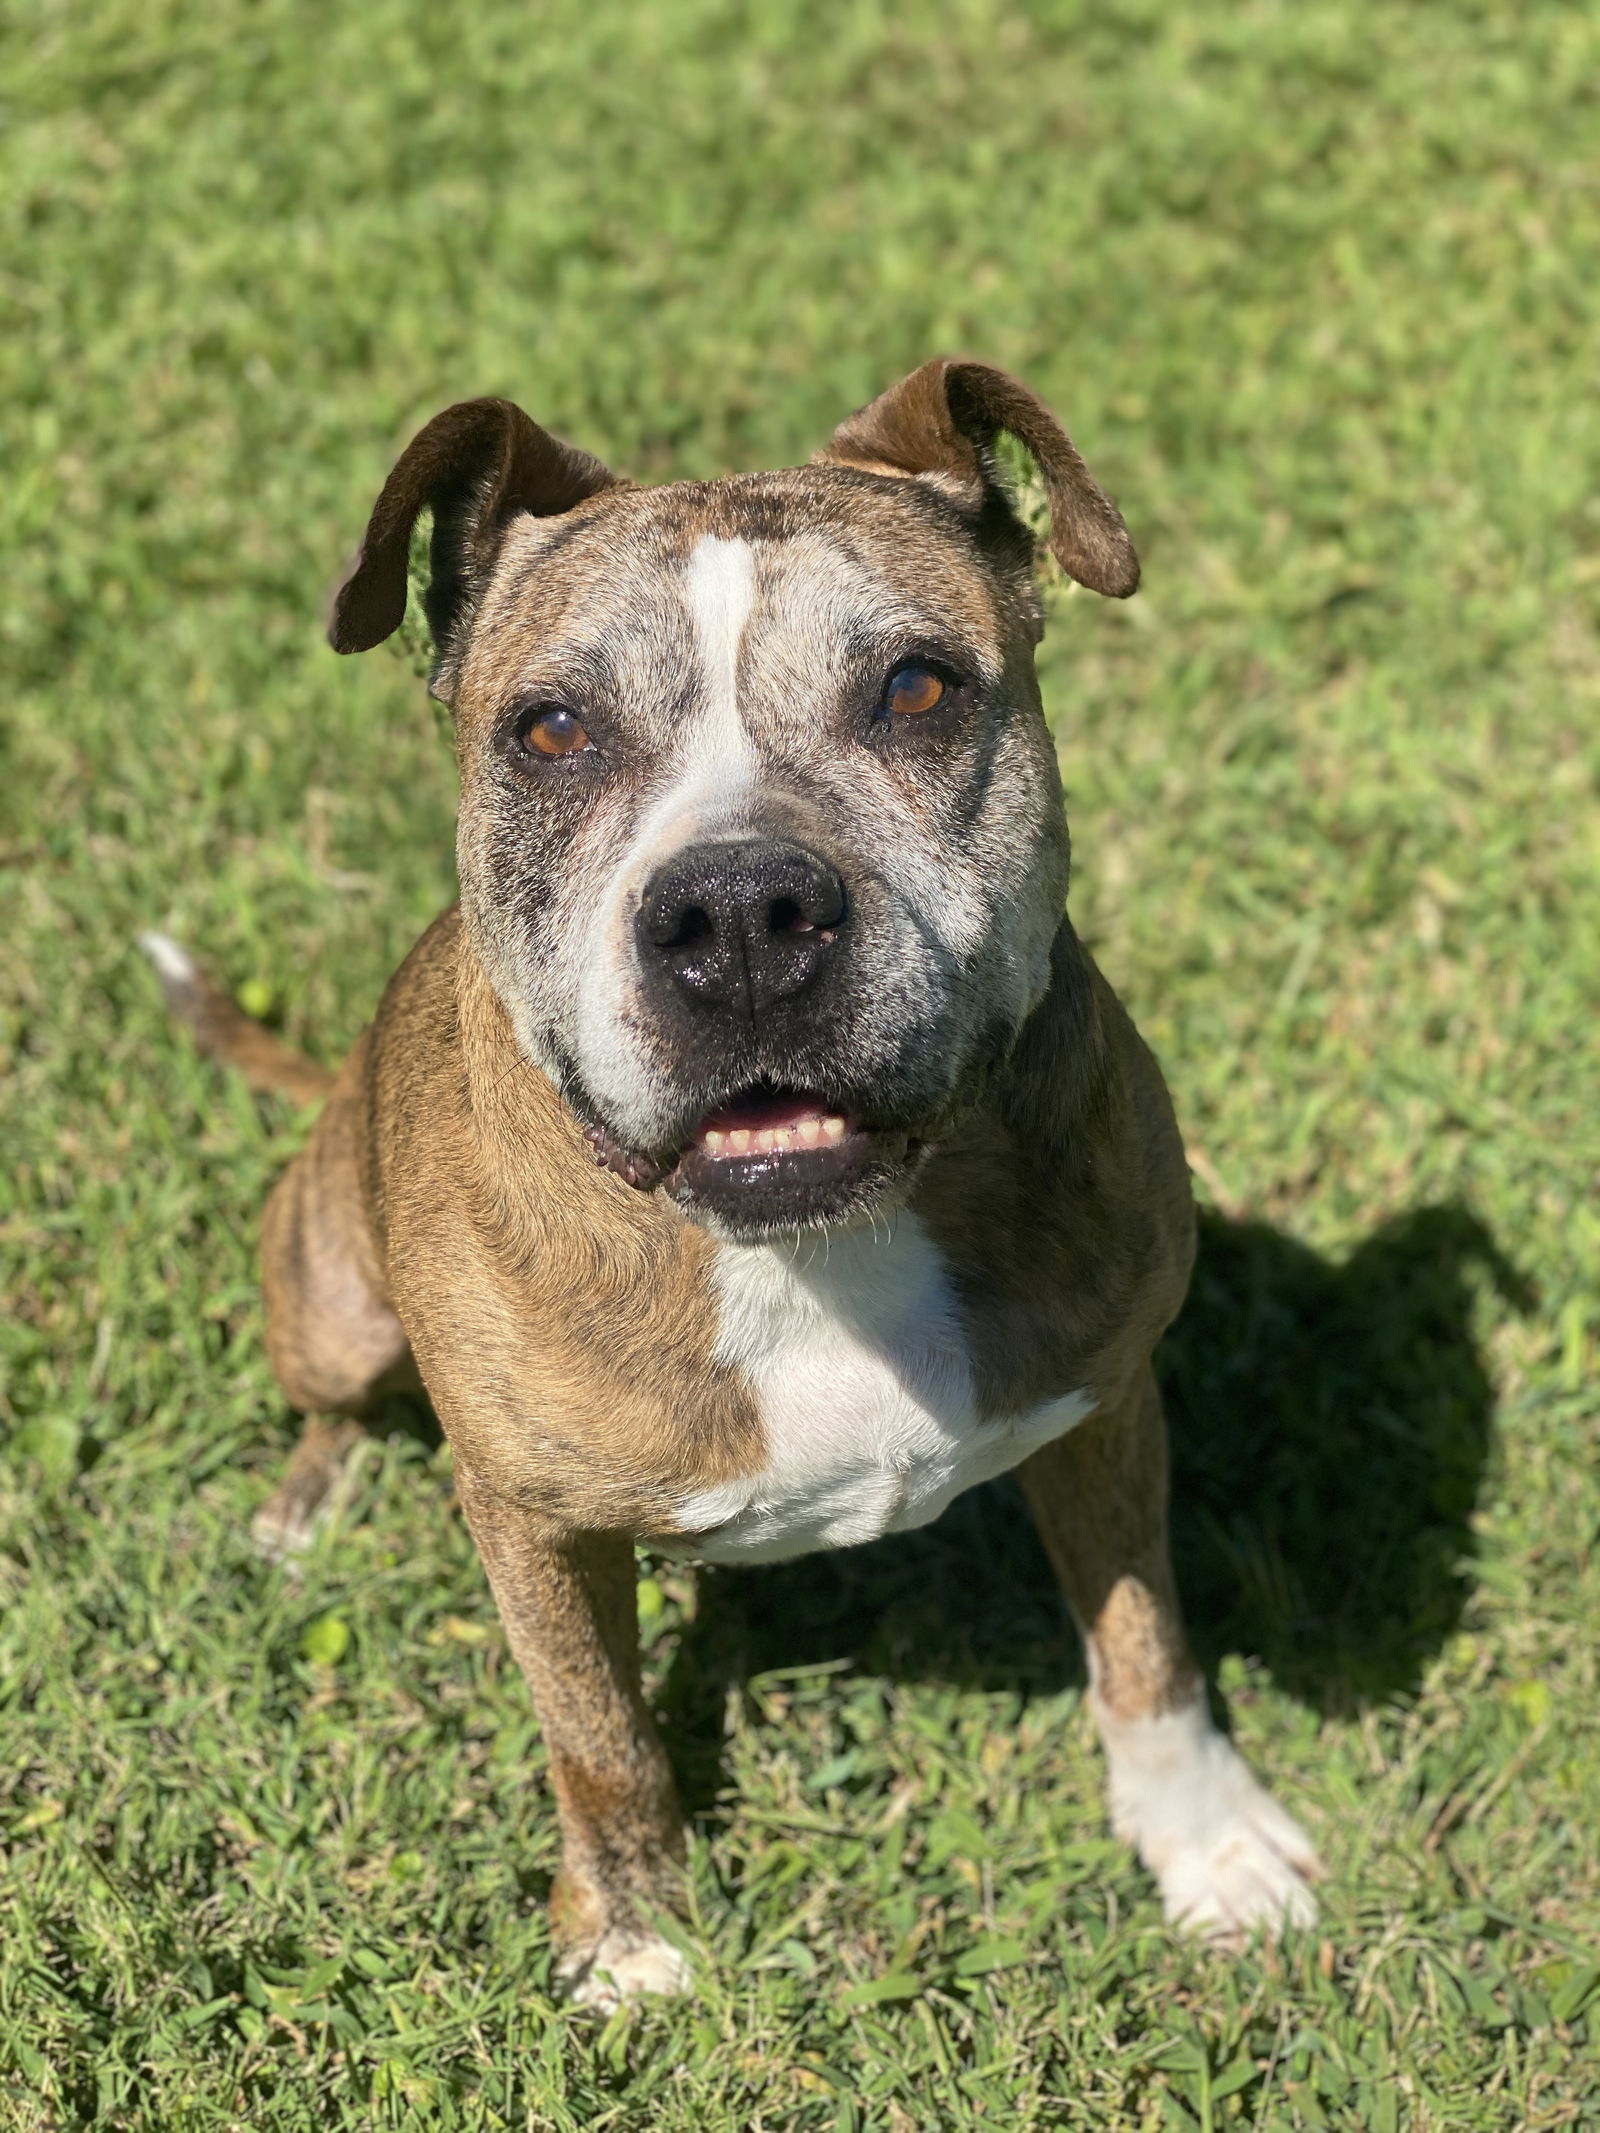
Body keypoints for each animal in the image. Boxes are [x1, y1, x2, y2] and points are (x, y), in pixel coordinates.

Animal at [150, 358, 1331, 2005]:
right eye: (553, 730)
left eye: (916, 688)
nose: (740, 908)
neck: (819, 1249)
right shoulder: (535, 1529)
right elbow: (601, 1741)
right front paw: (635, 1937)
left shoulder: (1108, 1401)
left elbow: (1145, 1645)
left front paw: (1207, 1845)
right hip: (334, 1300)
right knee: (332, 1403)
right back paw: (301, 1511)